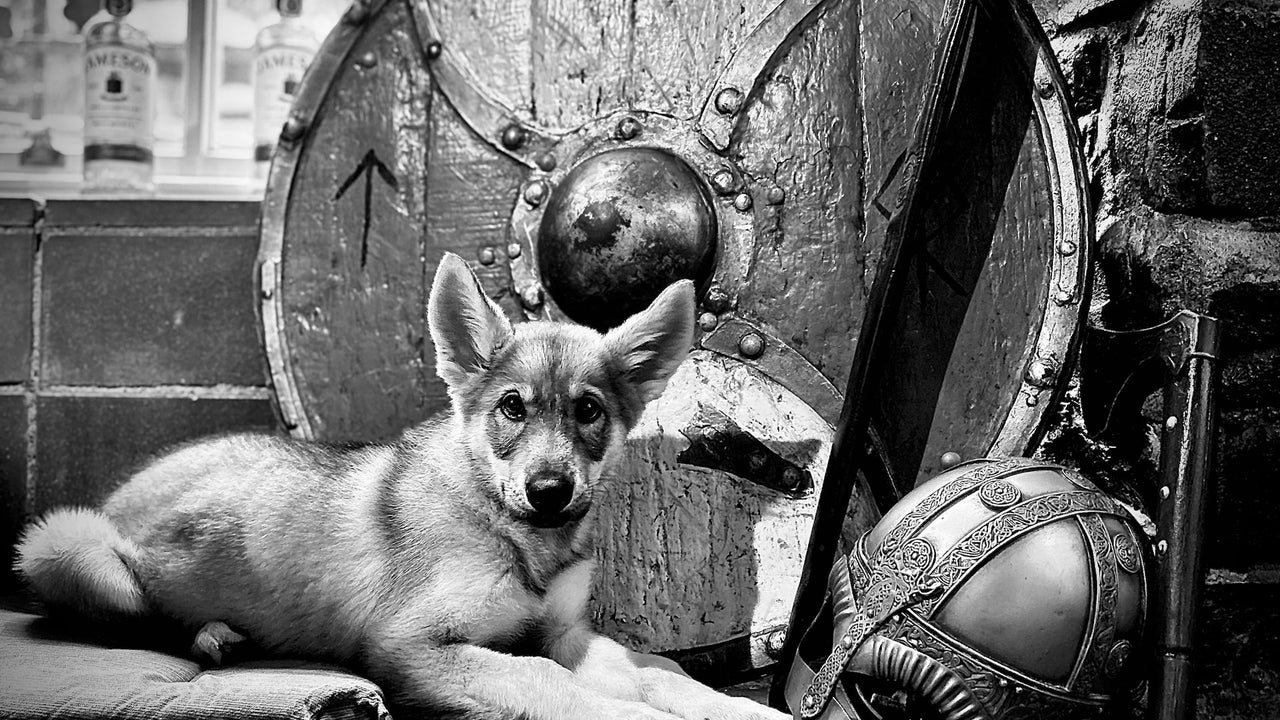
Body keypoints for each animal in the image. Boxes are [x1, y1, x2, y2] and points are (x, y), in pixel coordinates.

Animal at [15, 252, 783, 717]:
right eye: (512, 407)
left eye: (589, 410)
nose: (549, 492)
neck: (513, 534)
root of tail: (129, 485)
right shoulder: (411, 647)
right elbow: (551, 684)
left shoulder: (563, 631)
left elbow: (654, 671)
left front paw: (740, 708)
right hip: (67, 543)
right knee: (146, 620)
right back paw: (211, 635)